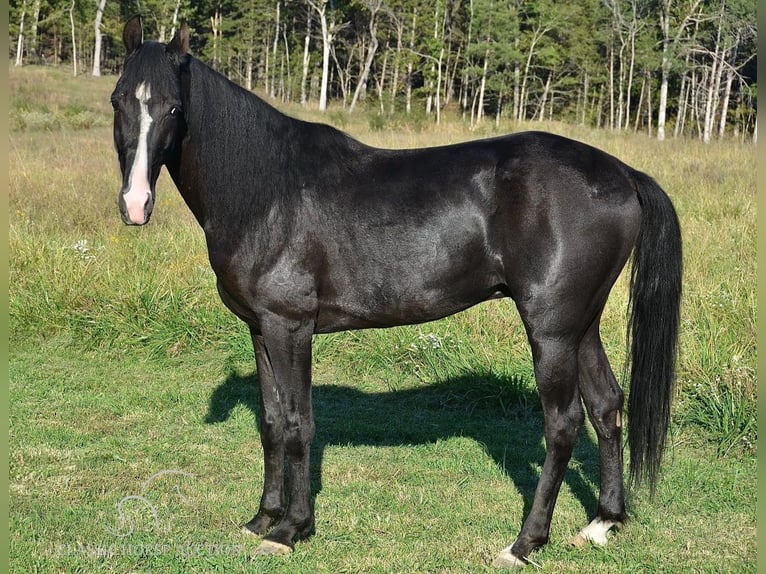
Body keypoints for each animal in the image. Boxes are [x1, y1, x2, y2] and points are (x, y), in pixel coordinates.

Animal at [111, 15, 680, 568]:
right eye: (119, 101)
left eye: (173, 107)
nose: (135, 204)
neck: (267, 191)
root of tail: (621, 173)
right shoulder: (260, 328)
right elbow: (272, 423)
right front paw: (261, 520)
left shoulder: (290, 327)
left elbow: (298, 424)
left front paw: (292, 530)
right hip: (581, 324)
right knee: (606, 406)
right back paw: (603, 523)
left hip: (551, 330)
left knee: (563, 424)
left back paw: (524, 543)